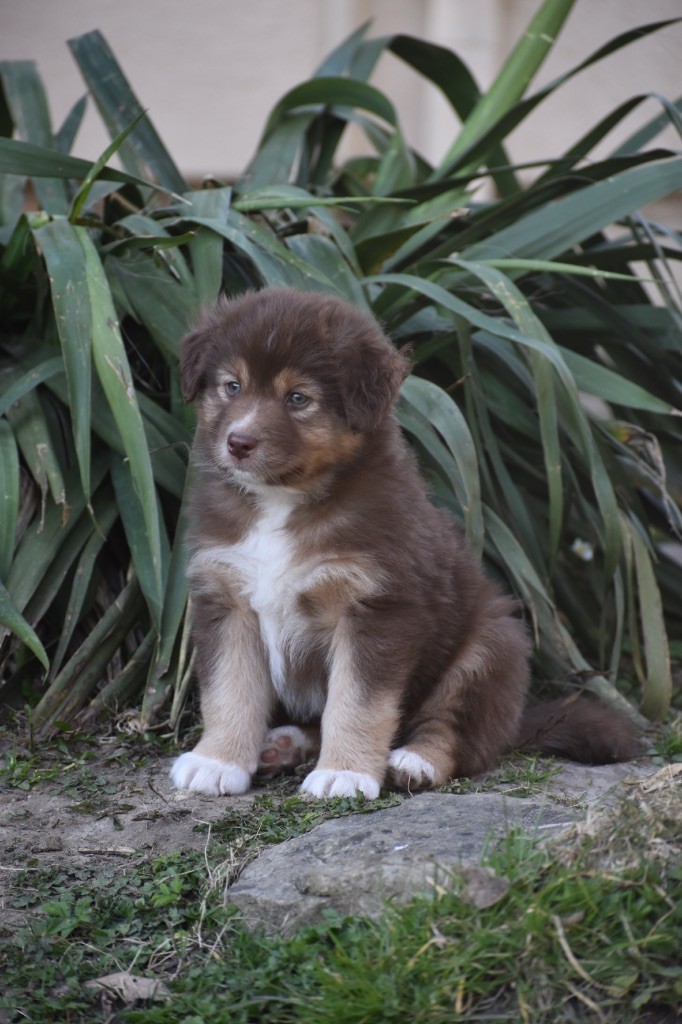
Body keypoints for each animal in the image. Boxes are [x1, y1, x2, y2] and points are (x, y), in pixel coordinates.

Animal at [168, 288, 630, 798]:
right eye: (232, 386)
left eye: (298, 398)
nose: (239, 443)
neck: (282, 502)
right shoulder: (226, 598)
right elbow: (229, 690)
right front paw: (216, 762)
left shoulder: (377, 607)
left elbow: (357, 702)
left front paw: (345, 774)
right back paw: (285, 745)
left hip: (492, 646)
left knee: (458, 732)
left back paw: (413, 761)